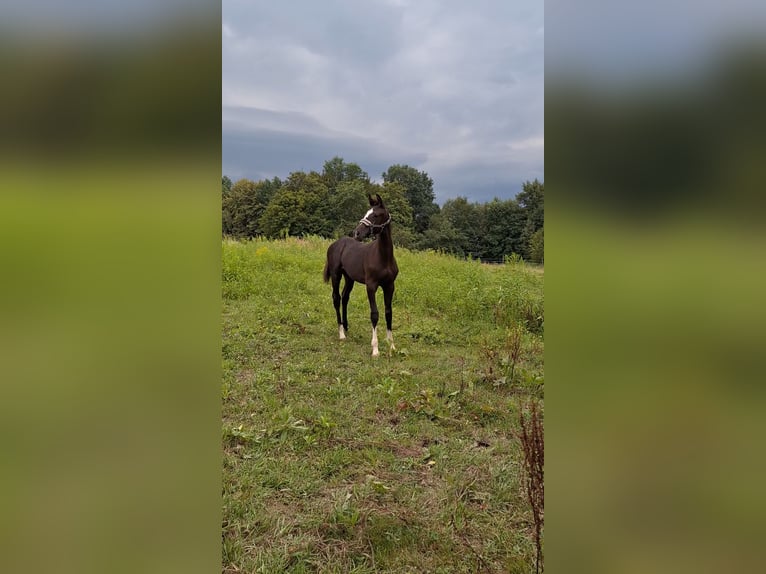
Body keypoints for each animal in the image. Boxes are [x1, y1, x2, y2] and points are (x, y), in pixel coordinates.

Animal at [322, 195, 400, 356]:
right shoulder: (371, 286)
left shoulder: (390, 286)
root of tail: (335, 244)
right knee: (336, 298)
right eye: (366, 212)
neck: (383, 257)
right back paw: (341, 333)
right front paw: (375, 349)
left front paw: (392, 345)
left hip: (349, 278)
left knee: (345, 297)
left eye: (375, 215)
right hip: (336, 275)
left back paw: (346, 326)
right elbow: (374, 314)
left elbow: (388, 312)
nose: (357, 233)